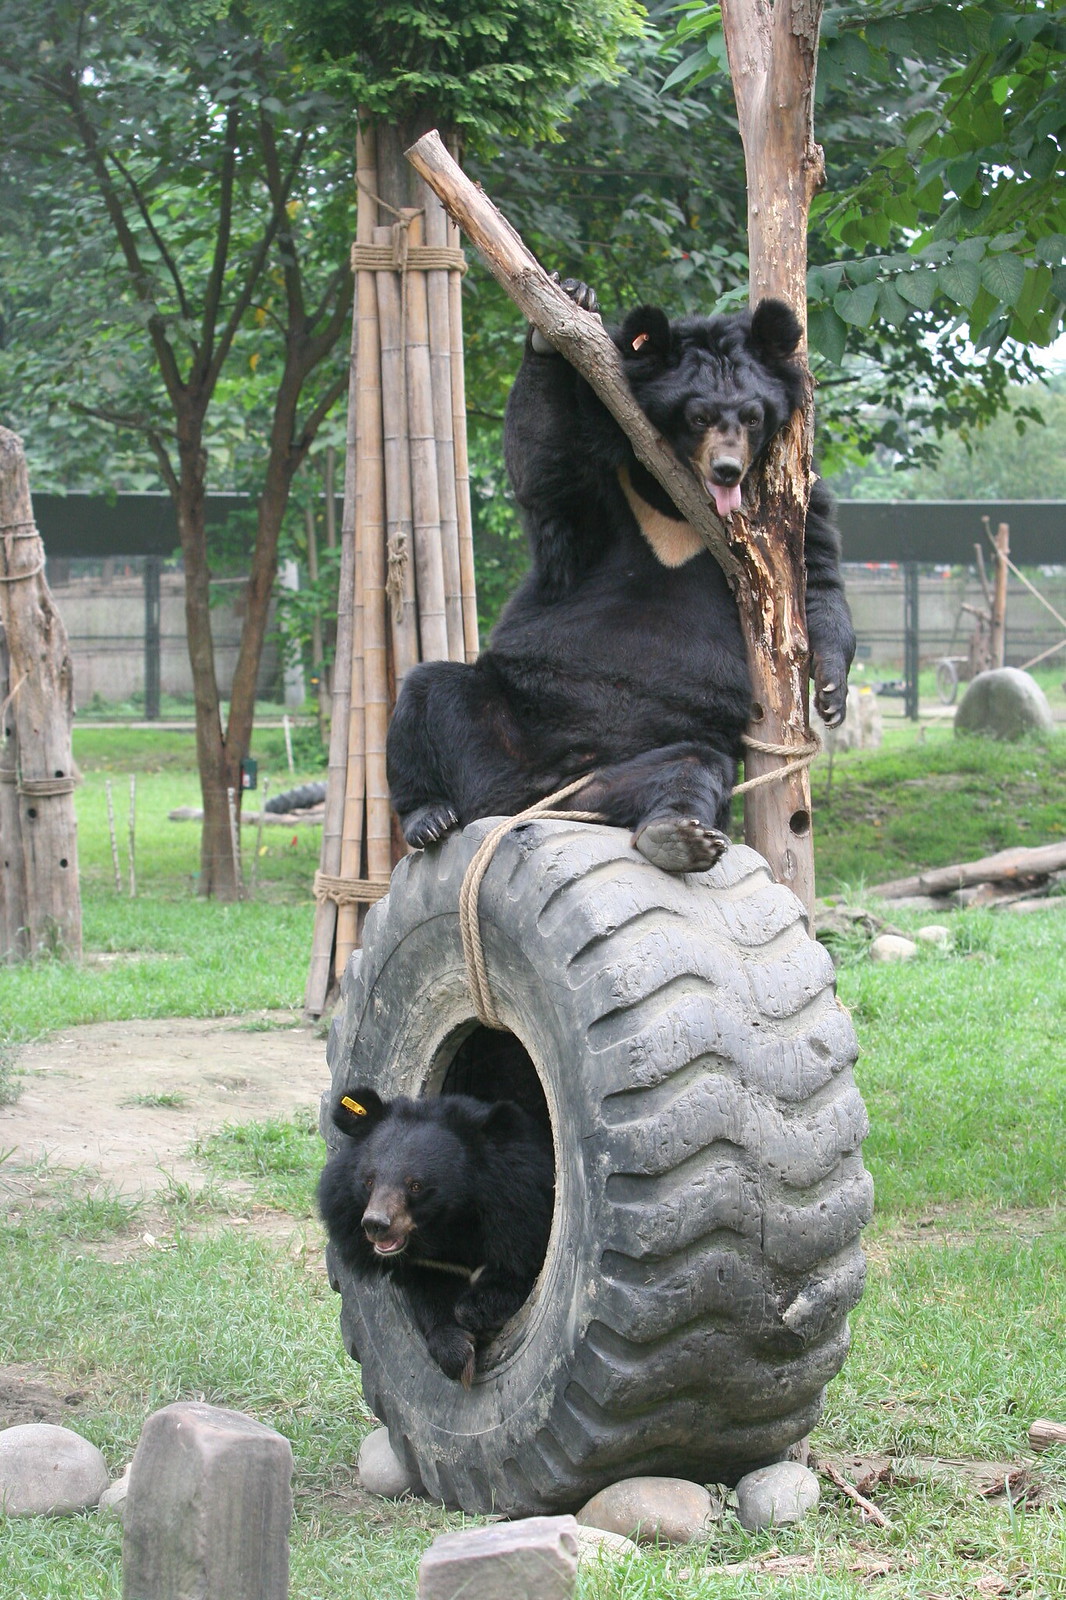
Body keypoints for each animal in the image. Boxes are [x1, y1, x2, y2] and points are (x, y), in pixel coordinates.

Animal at [318, 1087, 554, 1385]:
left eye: (416, 1186)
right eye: (369, 1181)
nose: (375, 1224)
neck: (451, 1226)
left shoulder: (522, 1218)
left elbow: (515, 1272)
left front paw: (478, 1315)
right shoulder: (433, 1264)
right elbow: (430, 1295)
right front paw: (457, 1353)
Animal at [386, 282, 856, 875]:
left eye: (752, 417)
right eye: (698, 417)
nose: (727, 469)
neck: (676, 503)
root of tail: (525, 798)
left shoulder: (794, 509)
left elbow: (815, 581)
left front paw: (832, 693)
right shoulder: (603, 488)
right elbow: (546, 473)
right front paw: (562, 311)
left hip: (633, 768)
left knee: (693, 767)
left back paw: (676, 837)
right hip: (503, 717)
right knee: (426, 694)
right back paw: (427, 816)